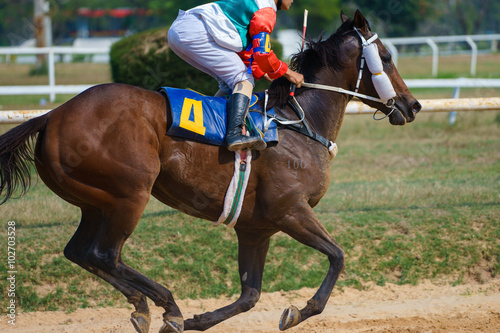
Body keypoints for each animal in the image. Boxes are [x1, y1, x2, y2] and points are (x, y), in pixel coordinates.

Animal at [0, 11, 420, 332]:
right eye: (386, 55)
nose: (412, 105)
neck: (299, 125)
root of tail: (53, 115)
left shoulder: (256, 227)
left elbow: (250, 295)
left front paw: (200, 320)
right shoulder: (290, 210)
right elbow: (337, 256)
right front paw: (297, 311)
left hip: (94, 200)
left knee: (81, 252)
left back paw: (146, 306)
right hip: (129, 194)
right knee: (104, 254)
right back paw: (165, 305)